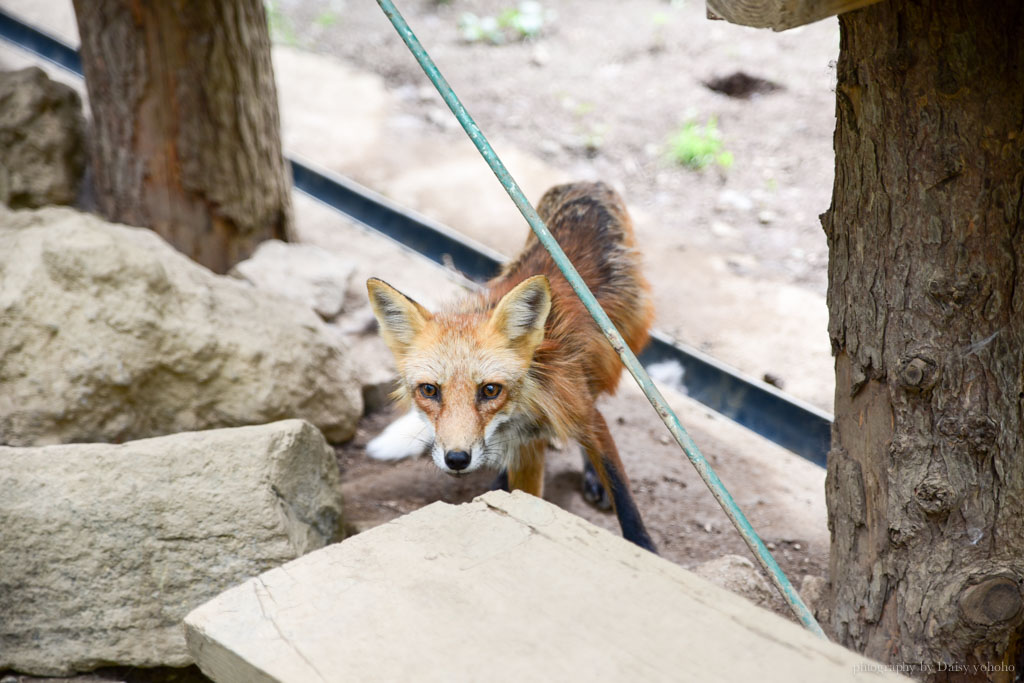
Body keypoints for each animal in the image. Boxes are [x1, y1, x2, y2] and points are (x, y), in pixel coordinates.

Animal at [366, 183, 655, 557]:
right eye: (429, 390)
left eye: (490, 390)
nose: (456, 459)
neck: (520, 411)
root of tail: (587, 183)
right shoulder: (524, 448)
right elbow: (527, 501)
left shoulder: (577, 410)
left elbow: (621, 489)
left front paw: (646, 549)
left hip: (616, 349)